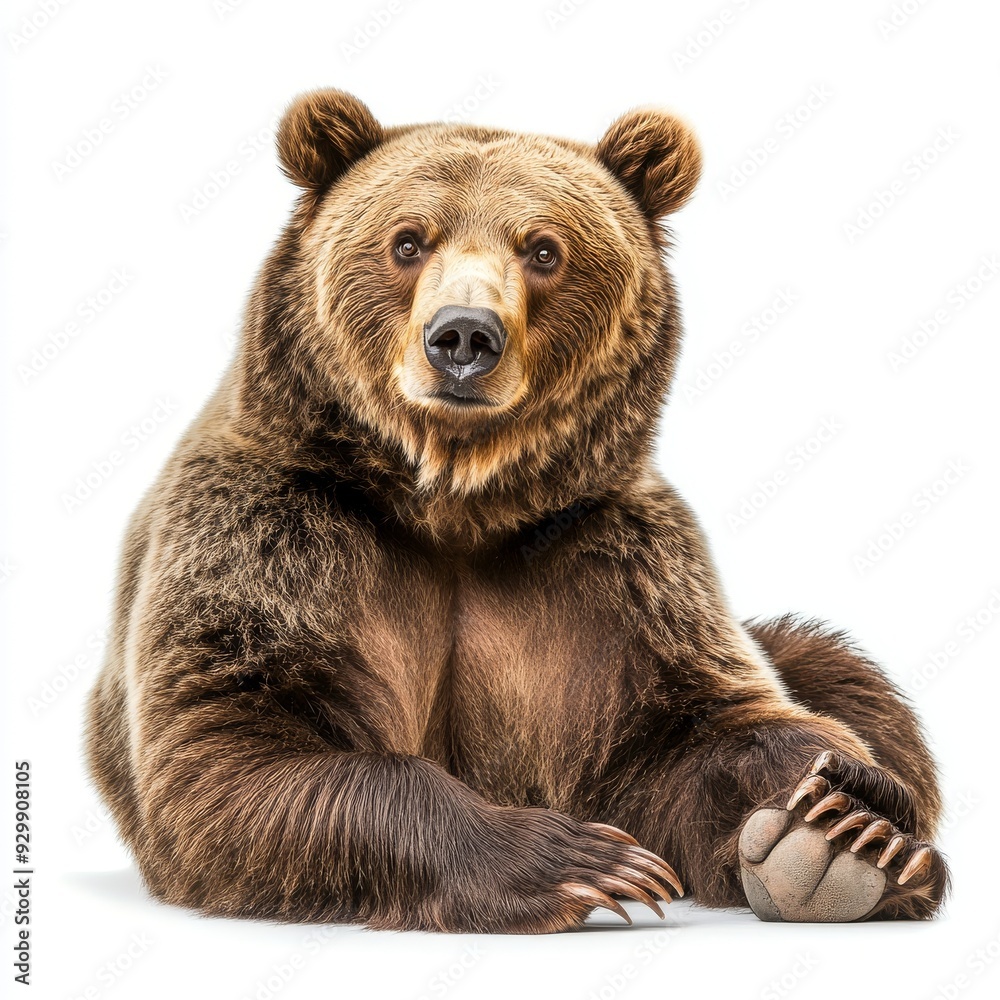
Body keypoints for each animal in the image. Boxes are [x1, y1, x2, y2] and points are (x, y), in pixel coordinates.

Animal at [84, 89, 949, 932]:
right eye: (408, 241)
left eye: (543, 250)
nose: (464, 336)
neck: (457, 506)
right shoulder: (274, 535)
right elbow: (230, 745)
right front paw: (579, 861)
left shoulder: (614, 571)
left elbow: (704, 728)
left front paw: (847, 822)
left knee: (839, 672)